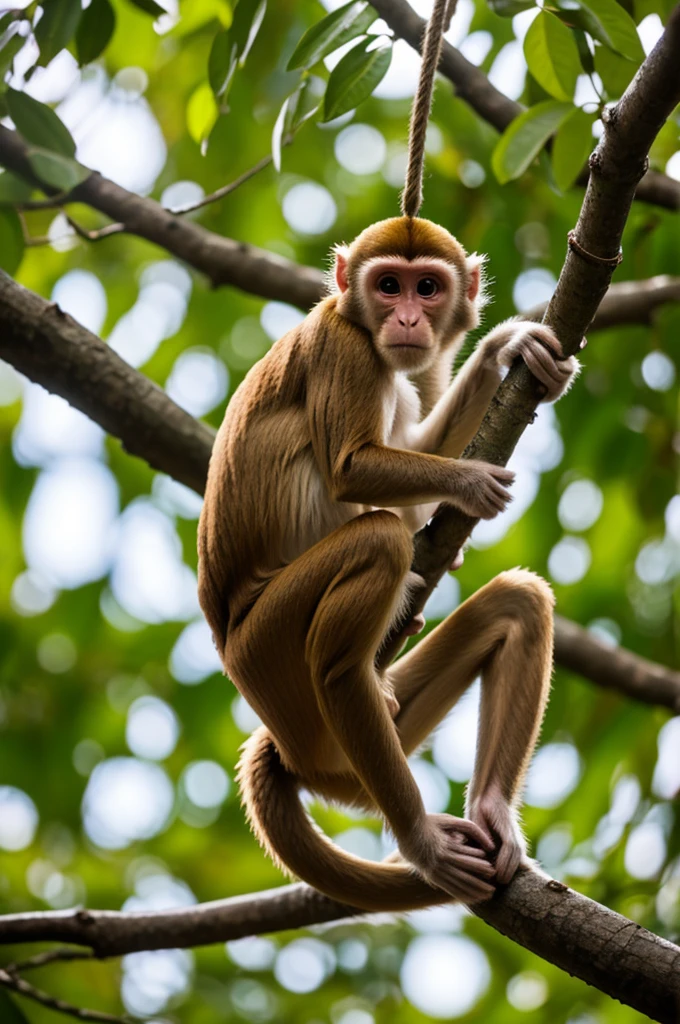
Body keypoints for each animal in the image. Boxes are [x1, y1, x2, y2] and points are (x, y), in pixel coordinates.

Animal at [197, 218, 577, 913]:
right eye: (388, 286)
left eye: (427, 288)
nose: (405, 319)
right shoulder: (345, 346)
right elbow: (352, 469)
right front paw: (470, 483)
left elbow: (413, 461)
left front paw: (505, 348)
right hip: (269, 655)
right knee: (375, 552)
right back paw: (420, 834)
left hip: (368, 739)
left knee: (520, 602)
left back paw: (491, 808)